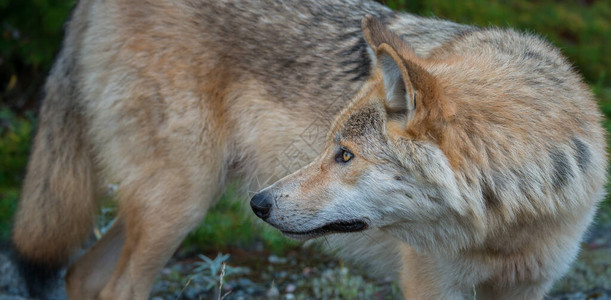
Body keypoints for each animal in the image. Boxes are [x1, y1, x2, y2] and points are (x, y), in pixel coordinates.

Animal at [11, 0, 604, 298]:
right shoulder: (430, 287)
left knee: (80, 274)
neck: (507, 223)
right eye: (330, 148)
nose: (259, 204)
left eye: (345, 155)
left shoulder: (527, 289)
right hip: (178, 206)